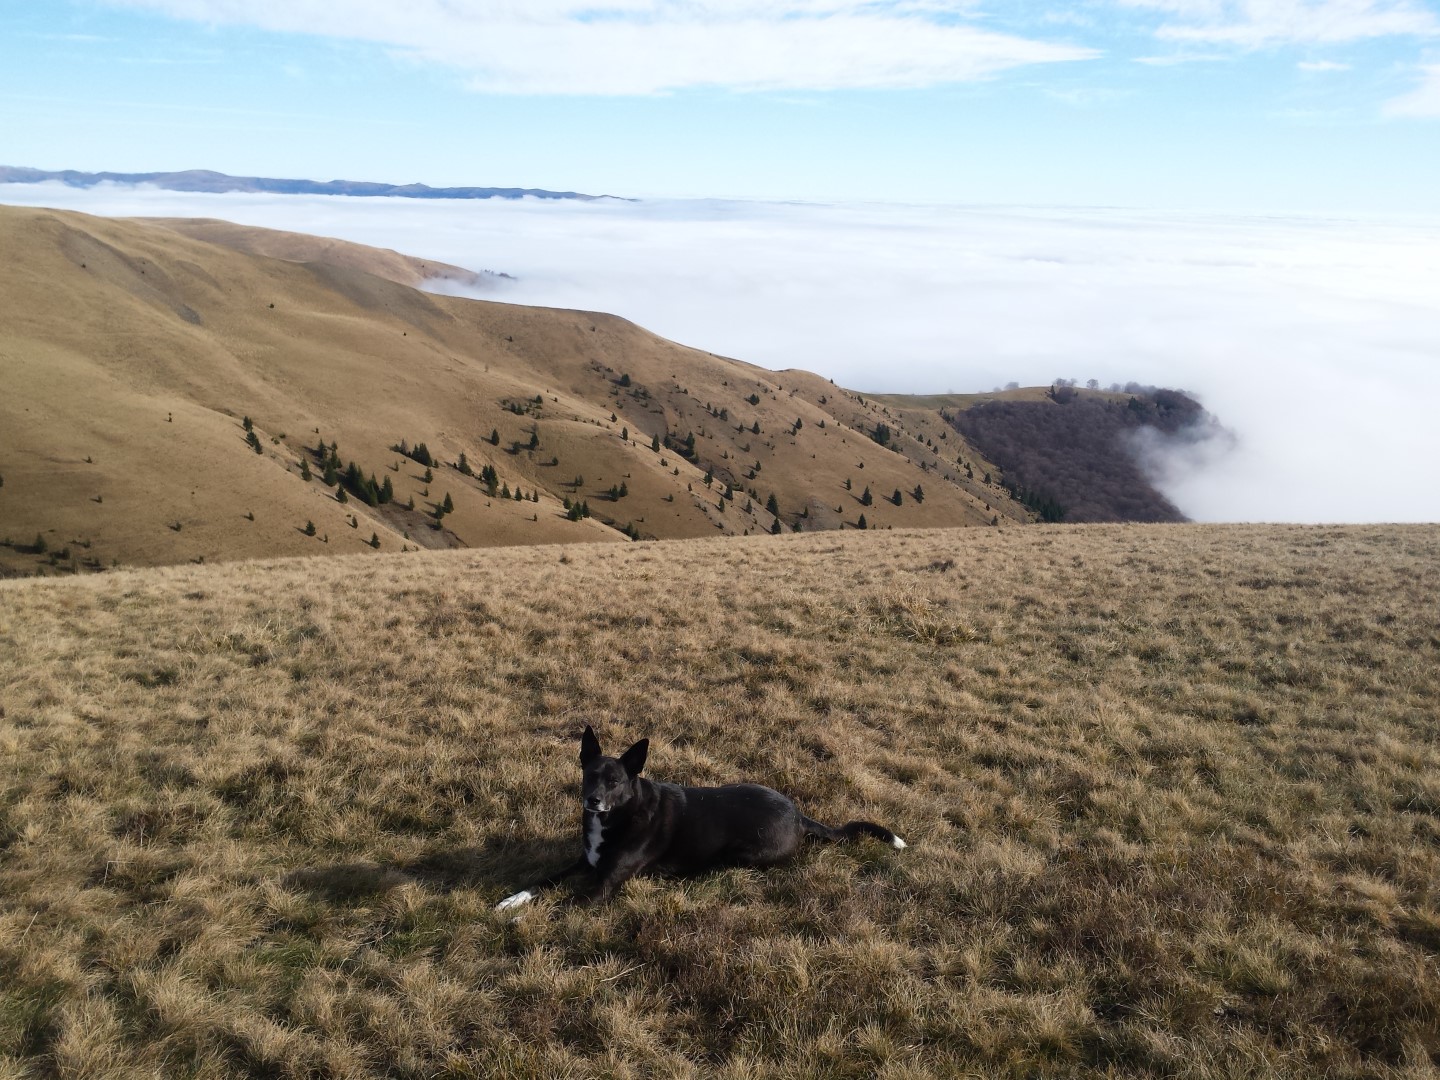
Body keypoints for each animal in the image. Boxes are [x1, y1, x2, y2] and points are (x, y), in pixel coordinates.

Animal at [495, 725, 905, 910]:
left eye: (614, 782)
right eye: (589, 775)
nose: (592, 801)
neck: (621, 815)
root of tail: (800, 815)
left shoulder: (603, 885)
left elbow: (562, 904)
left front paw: (519, 920)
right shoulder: (584, 862)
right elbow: (546, 881)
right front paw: (513, 901)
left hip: (746, 852)